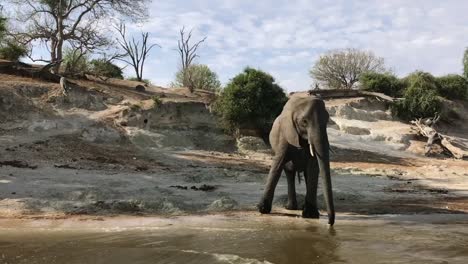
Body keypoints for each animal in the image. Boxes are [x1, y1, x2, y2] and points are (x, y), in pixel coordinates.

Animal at [258, 94, 334, 225]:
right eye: (304, 121)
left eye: (327, 121)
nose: (330, 223)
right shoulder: (285, 135)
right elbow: (277, 164)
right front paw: (262, 209)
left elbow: (313, 168)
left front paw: (310, 215)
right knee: (289, 172)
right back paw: (291, 207)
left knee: (306, 174)